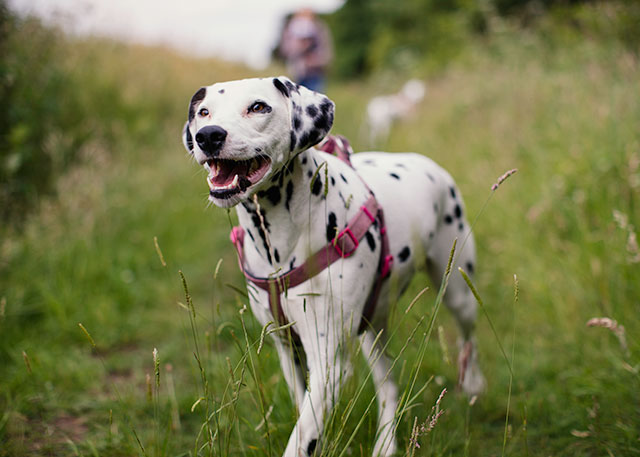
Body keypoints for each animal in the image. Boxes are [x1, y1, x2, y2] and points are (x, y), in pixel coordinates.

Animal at [182, 77, 482, 456]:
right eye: (204, 112)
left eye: (258, 107)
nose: (208, 135)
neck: (279, 242)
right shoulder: (288, 350)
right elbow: (305, 418)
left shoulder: (329, 363)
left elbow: (301, 437)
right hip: (372, 327)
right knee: (388, 385)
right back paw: (386, 443)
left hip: (459, 291)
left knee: (469, 338)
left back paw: (472, 383)